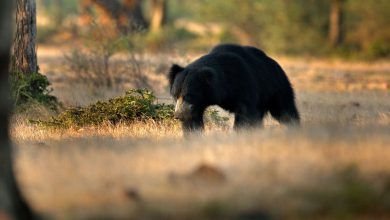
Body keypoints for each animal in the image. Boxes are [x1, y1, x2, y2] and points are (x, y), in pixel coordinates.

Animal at [168, 43, 298, 131]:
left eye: (188, 95)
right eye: (175, 95)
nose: (178, 116)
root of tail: (275, 63)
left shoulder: (242, 83)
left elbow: (245, 113)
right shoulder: (197, 104)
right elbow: (192, 119)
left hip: (275, 87)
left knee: (285, 109)